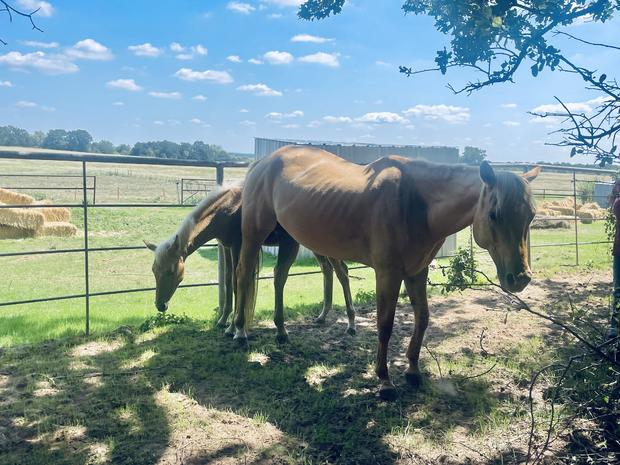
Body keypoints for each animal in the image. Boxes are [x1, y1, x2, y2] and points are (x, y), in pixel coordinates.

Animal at [145, 182, 356, 338]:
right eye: (154, 270)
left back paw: (351, 323)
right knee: (328, 270)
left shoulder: (240, 246)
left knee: (342, 273)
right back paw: (323, 316)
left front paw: (235, 328)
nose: (160, 305)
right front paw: (224, 321)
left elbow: (240, 282)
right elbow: (229, 281)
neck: (228, 208)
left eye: (171, 271)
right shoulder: (228, 247)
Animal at [235, 145, 540, 398]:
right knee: (243, 273)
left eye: (531, 215)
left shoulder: (417, 272)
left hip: (289, 239)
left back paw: (281, 331)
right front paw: (384, 381)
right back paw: (239, 332)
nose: (520, 278)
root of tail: (263, 162)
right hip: (253, 234)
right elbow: (385, 324)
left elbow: (423, 318)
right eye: (494, 214)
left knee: (279, 278)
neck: (416, 203)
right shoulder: (388, 273)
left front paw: (413, 371)